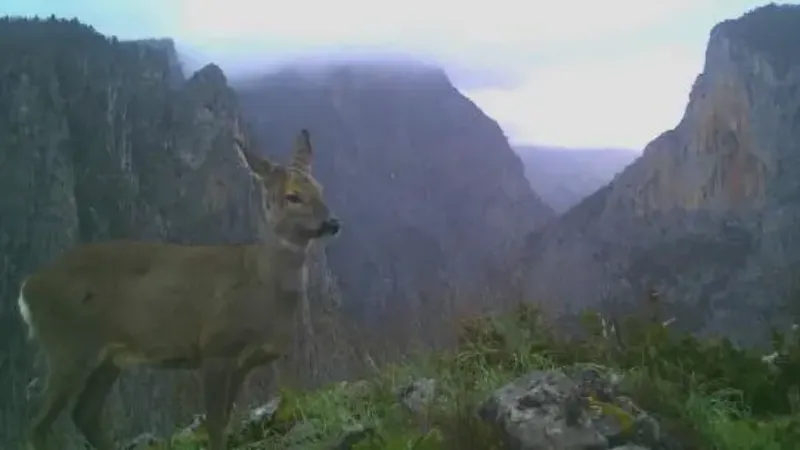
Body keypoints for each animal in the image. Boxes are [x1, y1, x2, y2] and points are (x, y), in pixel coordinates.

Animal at [18, 129, 338, 450]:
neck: (264, 288)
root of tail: (28, 288)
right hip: (68, 345)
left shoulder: (245, 361)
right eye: (292, 196)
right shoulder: (217, 346)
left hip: (108, 357)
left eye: (320, 188)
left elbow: (225, 417)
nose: (332, 222)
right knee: (39, 425)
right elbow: (215, 424)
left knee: (84, 414)